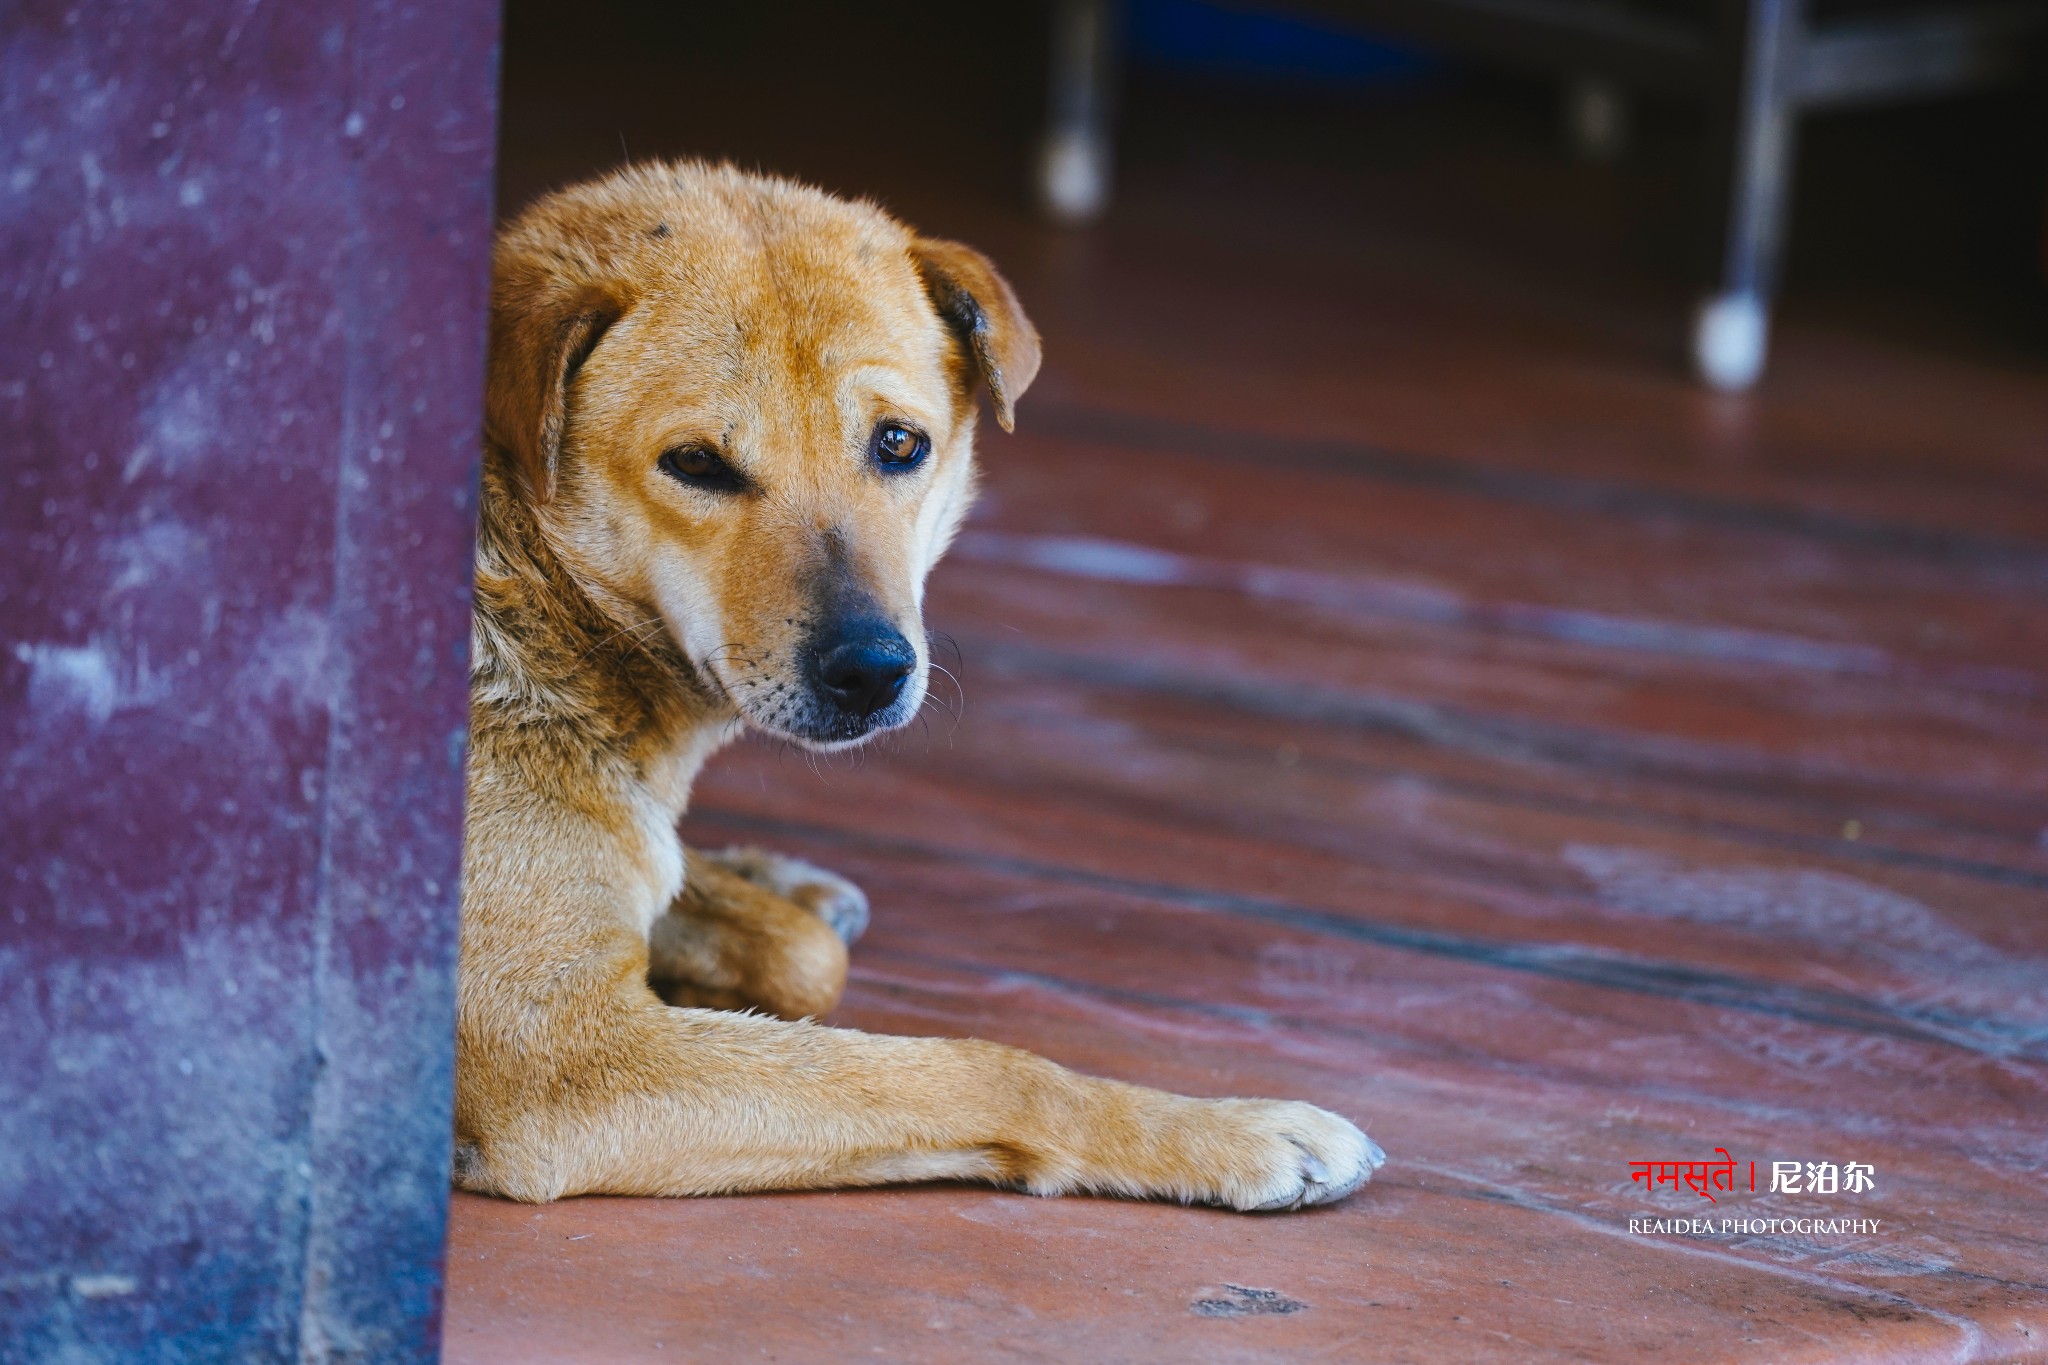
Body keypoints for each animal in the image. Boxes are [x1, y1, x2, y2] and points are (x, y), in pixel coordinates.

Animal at [456, 154, 1384, 1211]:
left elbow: (804, 957)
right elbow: (986, 1070)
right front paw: (1239, 1131)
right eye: (694, 462)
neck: (530, 588)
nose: (871, 670)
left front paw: (741, 901)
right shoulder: (565, 1062)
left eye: (899, 444)